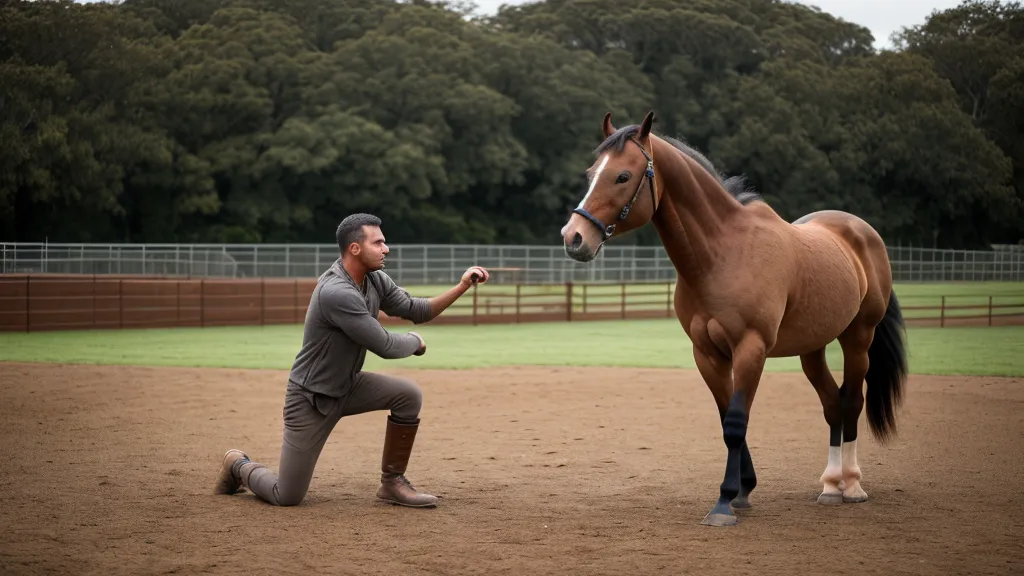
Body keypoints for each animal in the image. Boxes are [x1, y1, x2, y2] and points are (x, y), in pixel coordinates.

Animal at [559, 111, 908, 527]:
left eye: (622, 176)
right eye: (591, 172)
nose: (573, 237)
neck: (723, 254)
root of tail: (862, 233)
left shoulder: (750, 349)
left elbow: (736, 421)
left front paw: (725, 501)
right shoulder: (707, 353)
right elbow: (727, 418)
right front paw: (743, 490)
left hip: (858, 339)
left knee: (852, 401)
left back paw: (852, 485)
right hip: (812, 349)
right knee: (832, 405)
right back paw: (829, 486)